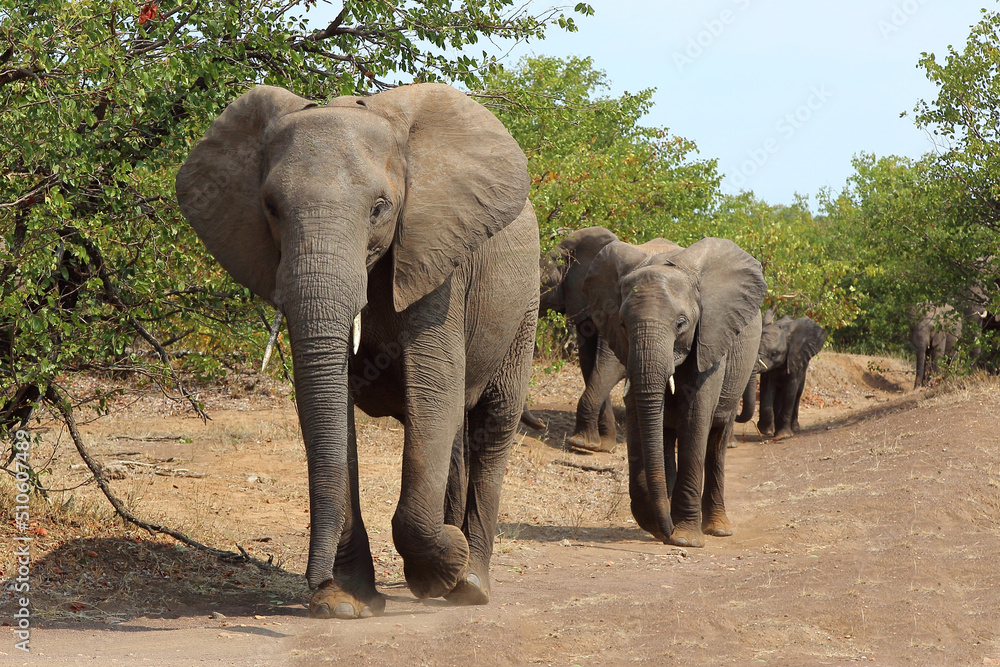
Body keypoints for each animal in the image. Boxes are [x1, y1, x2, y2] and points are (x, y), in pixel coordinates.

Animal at [176, 83, 539, 619]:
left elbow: (435, 388)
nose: (313, 580)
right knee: (455, 436)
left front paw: (440, 569)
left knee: (493, 421)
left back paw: (470, 583)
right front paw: (344, 603)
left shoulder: (436, 262)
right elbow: (329, 408)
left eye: (379, 208)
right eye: (270, 208)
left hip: (525, 303)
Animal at [584, 236, 766, 547]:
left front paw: (684, 540)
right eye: (622, 324)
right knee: (666, 435)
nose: (666, 532)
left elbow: (695, 417)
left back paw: (718, 529)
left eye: (681, 323)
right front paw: (657, 526)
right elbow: (636, 416)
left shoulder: (710, 337)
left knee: (716, 441)